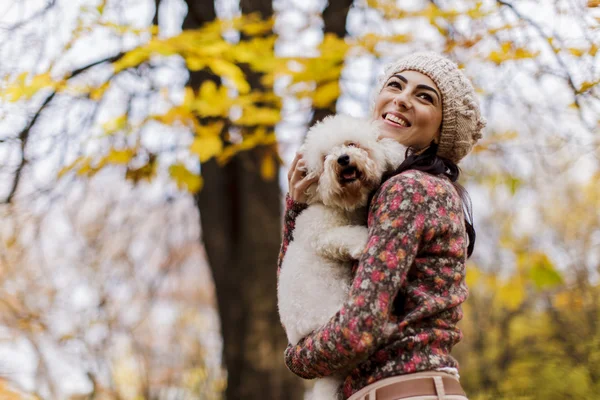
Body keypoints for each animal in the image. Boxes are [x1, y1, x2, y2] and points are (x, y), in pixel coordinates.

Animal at [278, 114, 406, 398]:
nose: (343, 159)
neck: (345, 205)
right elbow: (346, 235)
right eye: (326, 157)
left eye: (351, 144)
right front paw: (363, 240)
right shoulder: (320, 234)